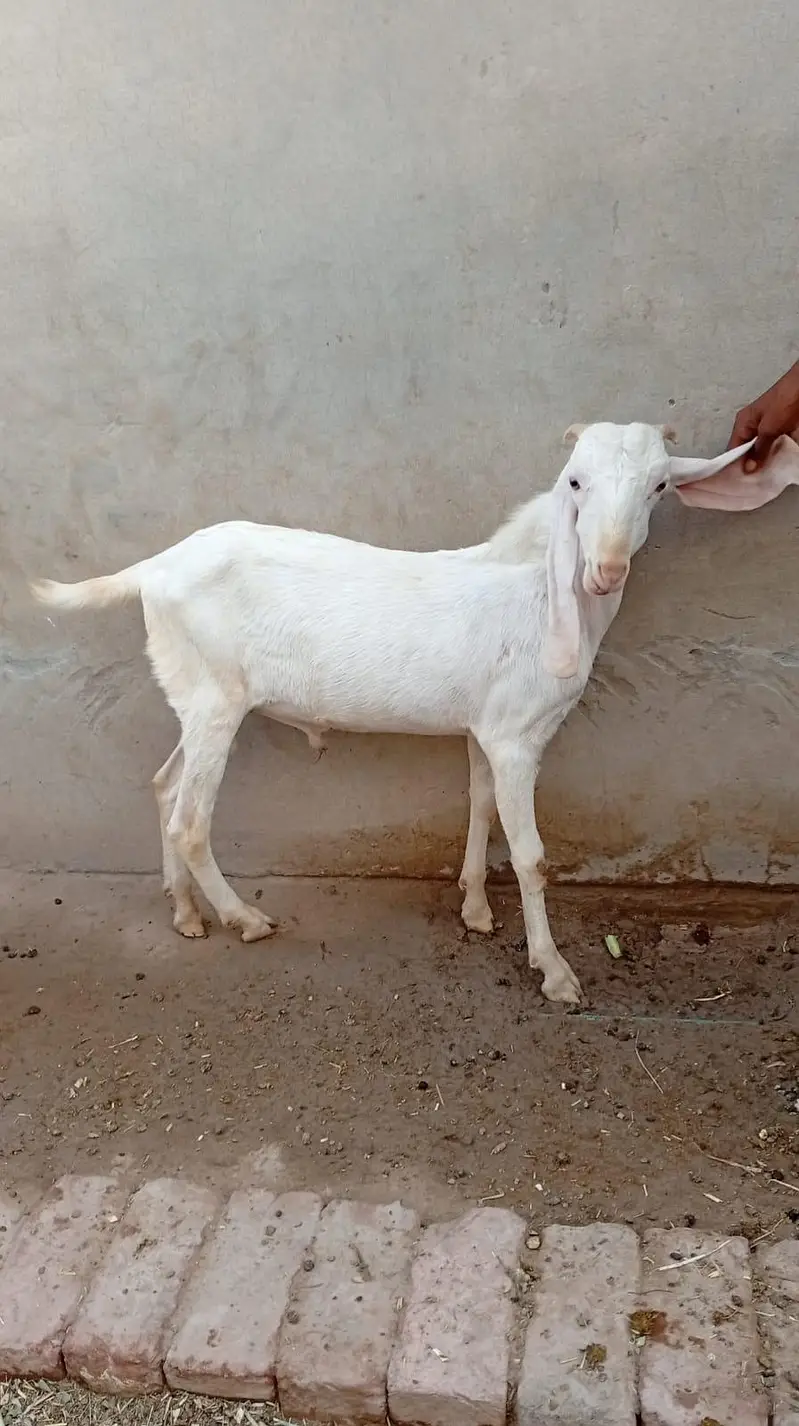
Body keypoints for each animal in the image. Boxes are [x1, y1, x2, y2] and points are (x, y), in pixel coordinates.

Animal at [34, 422, 789, 1004]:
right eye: (574, 483)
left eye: (658, 487)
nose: (605, 571)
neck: (542, 593)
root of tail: (152, 568)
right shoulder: (518, 736)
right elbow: (532, 856)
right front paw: (554, 972)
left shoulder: (485, 728)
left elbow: (479, 804)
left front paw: (475, 909)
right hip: (217, 701)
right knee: (191, 819)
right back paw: (242, 918)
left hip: (193, 694)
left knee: (166, 785)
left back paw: (186, 911)